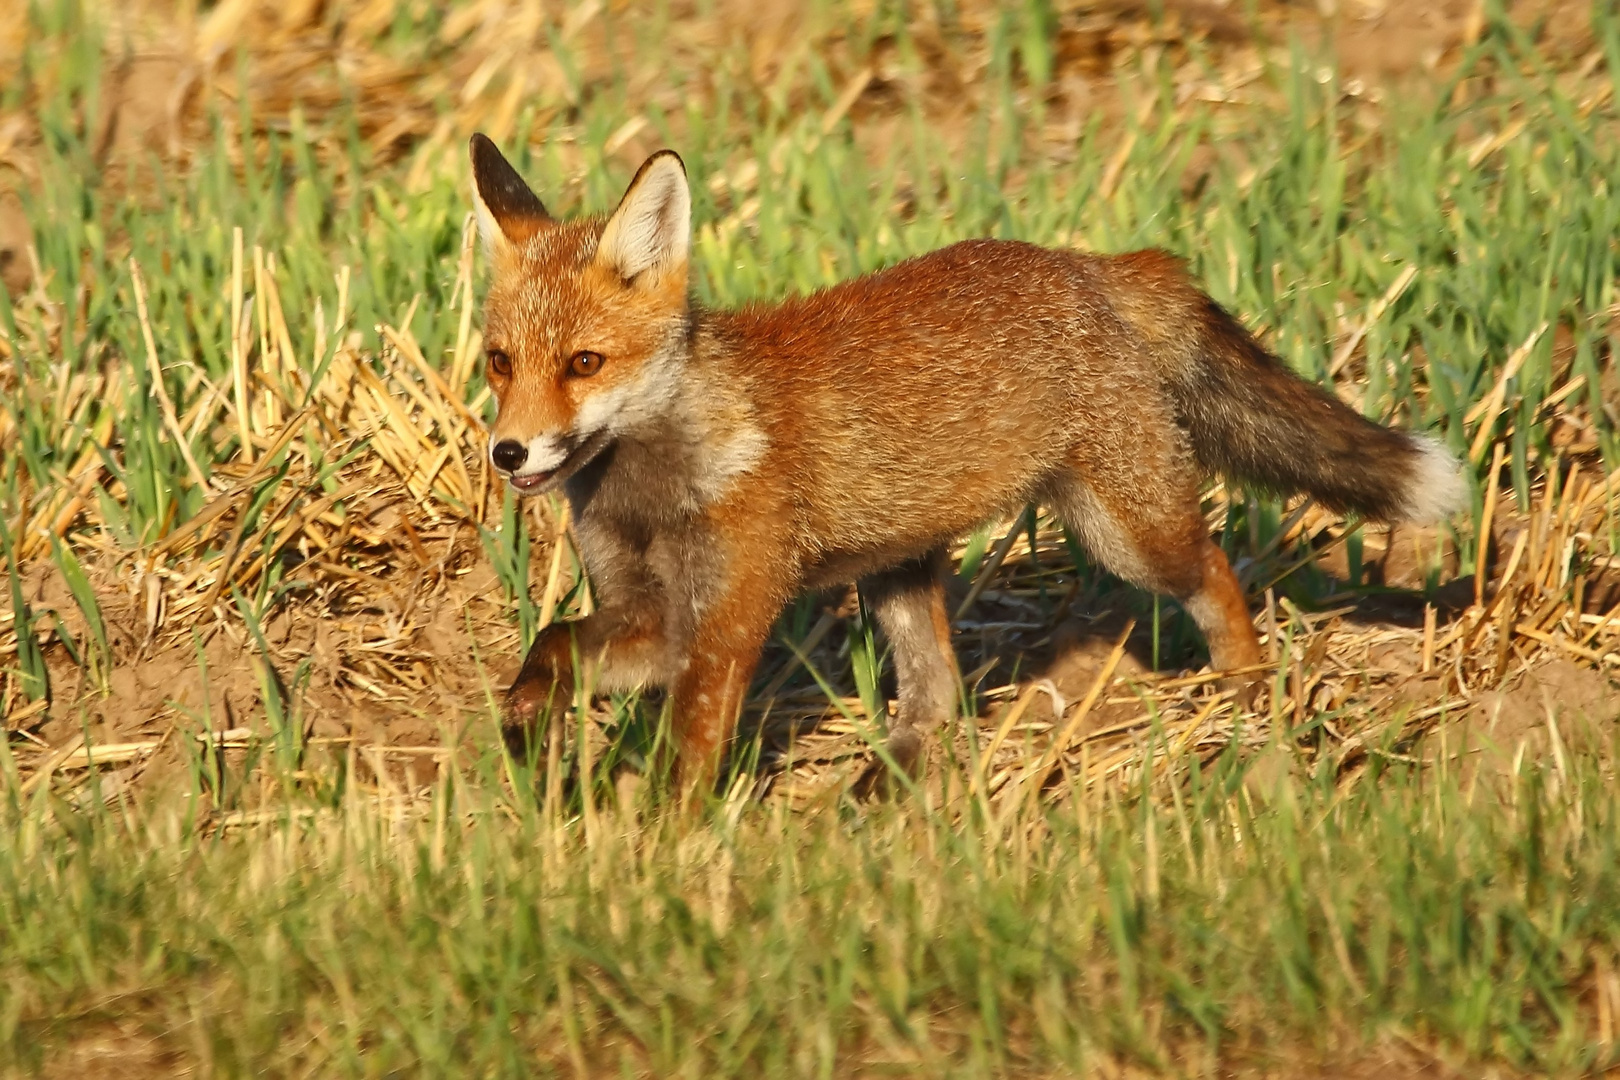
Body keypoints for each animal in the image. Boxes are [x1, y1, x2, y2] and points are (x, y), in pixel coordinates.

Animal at [466, 132, 1470, 793]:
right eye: (501, 363)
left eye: (584, 363)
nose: (508, 451)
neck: (655, 488)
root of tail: (1089, 265)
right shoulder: (653, 617)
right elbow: (552, 645)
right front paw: (521, 732)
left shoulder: (728, 619)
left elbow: (686, 762)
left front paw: (665, 855)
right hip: (898, 573)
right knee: (938, 695)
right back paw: (889, 780)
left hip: (1126, 532)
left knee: (1217, 574)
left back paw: (1246, 696)